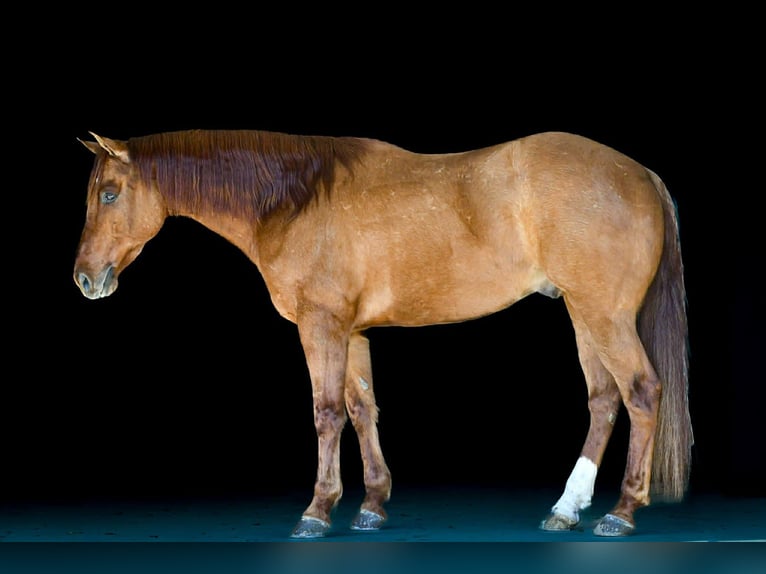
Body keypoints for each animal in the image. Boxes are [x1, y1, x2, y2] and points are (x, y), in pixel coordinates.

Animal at [73, 128, 693, 538]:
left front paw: (317, 511)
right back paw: (567, 508)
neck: (299, 199)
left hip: (605, 315)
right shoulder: (353, 333)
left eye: (109, 193)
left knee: (641, 393)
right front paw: (371, 504)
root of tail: (642, 175)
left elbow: (326, 413)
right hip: (584, 315)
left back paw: (622, 511)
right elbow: (362, 408)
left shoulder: (321, 326)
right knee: (604, 400)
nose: (85, 278)